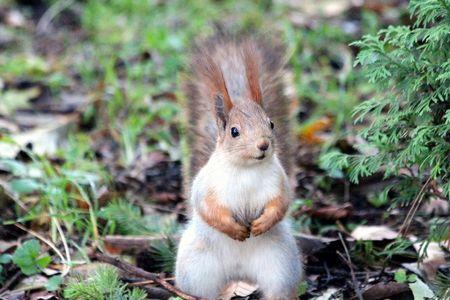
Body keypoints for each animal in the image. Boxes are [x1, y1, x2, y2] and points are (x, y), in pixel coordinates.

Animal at [176, 34, 302, 300]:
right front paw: (234, 230)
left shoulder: (279, 182)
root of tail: (239, 273)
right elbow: (207, 207)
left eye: (271, 123)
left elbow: (281, 203)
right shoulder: (207, 186)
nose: (263, 145)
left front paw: (262, 223)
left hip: (280, 266)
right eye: (234, 131)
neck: (246, 169)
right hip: (196, 268)